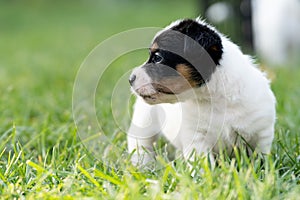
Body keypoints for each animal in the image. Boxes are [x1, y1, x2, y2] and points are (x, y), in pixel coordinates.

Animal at [127, 18, 276, 166]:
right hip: (144, 120)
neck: (215, 100)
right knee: (139, 141)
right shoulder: (196, 138)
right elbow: (204, 164)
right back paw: (142, 164)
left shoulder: (261, 134)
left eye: (158, 58)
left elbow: (260, 159)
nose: (130, 79)